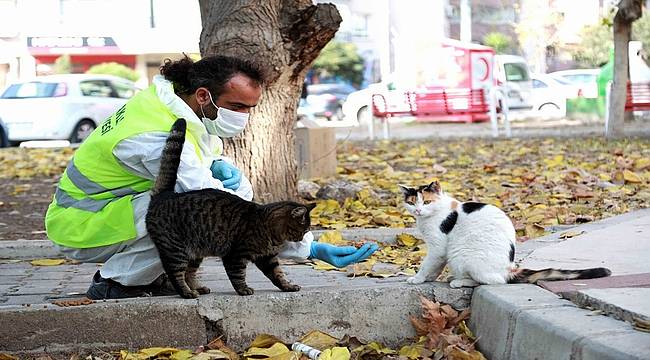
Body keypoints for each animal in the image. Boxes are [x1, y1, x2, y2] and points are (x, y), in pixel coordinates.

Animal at [146, 118, 312, 298]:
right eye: (304, 230)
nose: (301, 239)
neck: (270, 229)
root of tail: (165, 194)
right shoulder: (236, 255)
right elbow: (238, 274)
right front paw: (243, 289)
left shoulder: (268, 258)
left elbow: (278, 274)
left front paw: (287, 285)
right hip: (175, 250)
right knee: (175, 273)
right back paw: (187, 292)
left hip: (195, 252)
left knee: (189, 272)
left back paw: (197, 288)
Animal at [398, 181, 612, 288]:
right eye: (412, 203)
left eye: (426, 202)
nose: (418, 210)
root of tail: (510, 268)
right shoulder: (440, 252)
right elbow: (435, 267)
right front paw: (430, 278)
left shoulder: (438, 247)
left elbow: (428, 264)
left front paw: (418, 278)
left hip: (461, 254)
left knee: (493, 281)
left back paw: (459, 281)